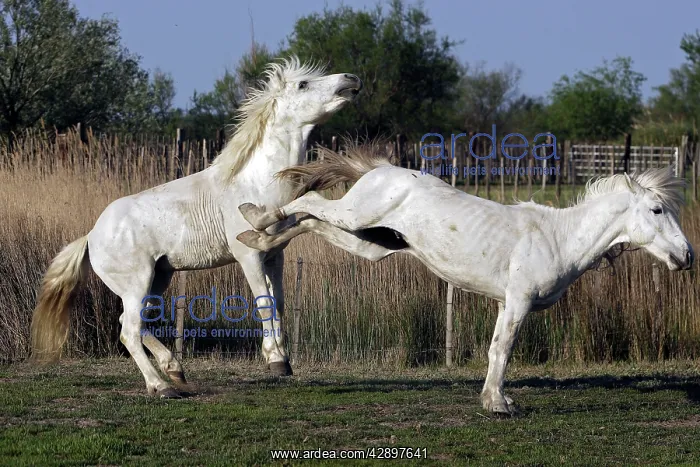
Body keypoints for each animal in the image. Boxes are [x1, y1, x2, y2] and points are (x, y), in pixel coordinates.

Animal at [29, 57, 363, 398]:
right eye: (303, 84)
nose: (351, 79)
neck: (256, 183)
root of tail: (91, 236)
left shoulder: (275, 256)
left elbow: (279, 303)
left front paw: (283, 359)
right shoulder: (249, 256)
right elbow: (264, 304)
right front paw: (276, 361)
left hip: (158, 279)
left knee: (134, 323)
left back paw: (175, 370)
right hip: (137, 283)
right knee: (129, 332)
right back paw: (161, 386)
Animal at [235, 143, 694, 415]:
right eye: (656, 210)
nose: (687, 256)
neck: (558, 238)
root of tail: (385, 170)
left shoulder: (506, 303)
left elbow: (495, 349)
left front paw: (496, 398)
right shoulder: (518, 302)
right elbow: (502, 350)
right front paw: (498, 404)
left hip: (369, 242)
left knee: (308, 222)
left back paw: (256, 236)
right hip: (355, 216)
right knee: (310, 201)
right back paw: (254, 218)